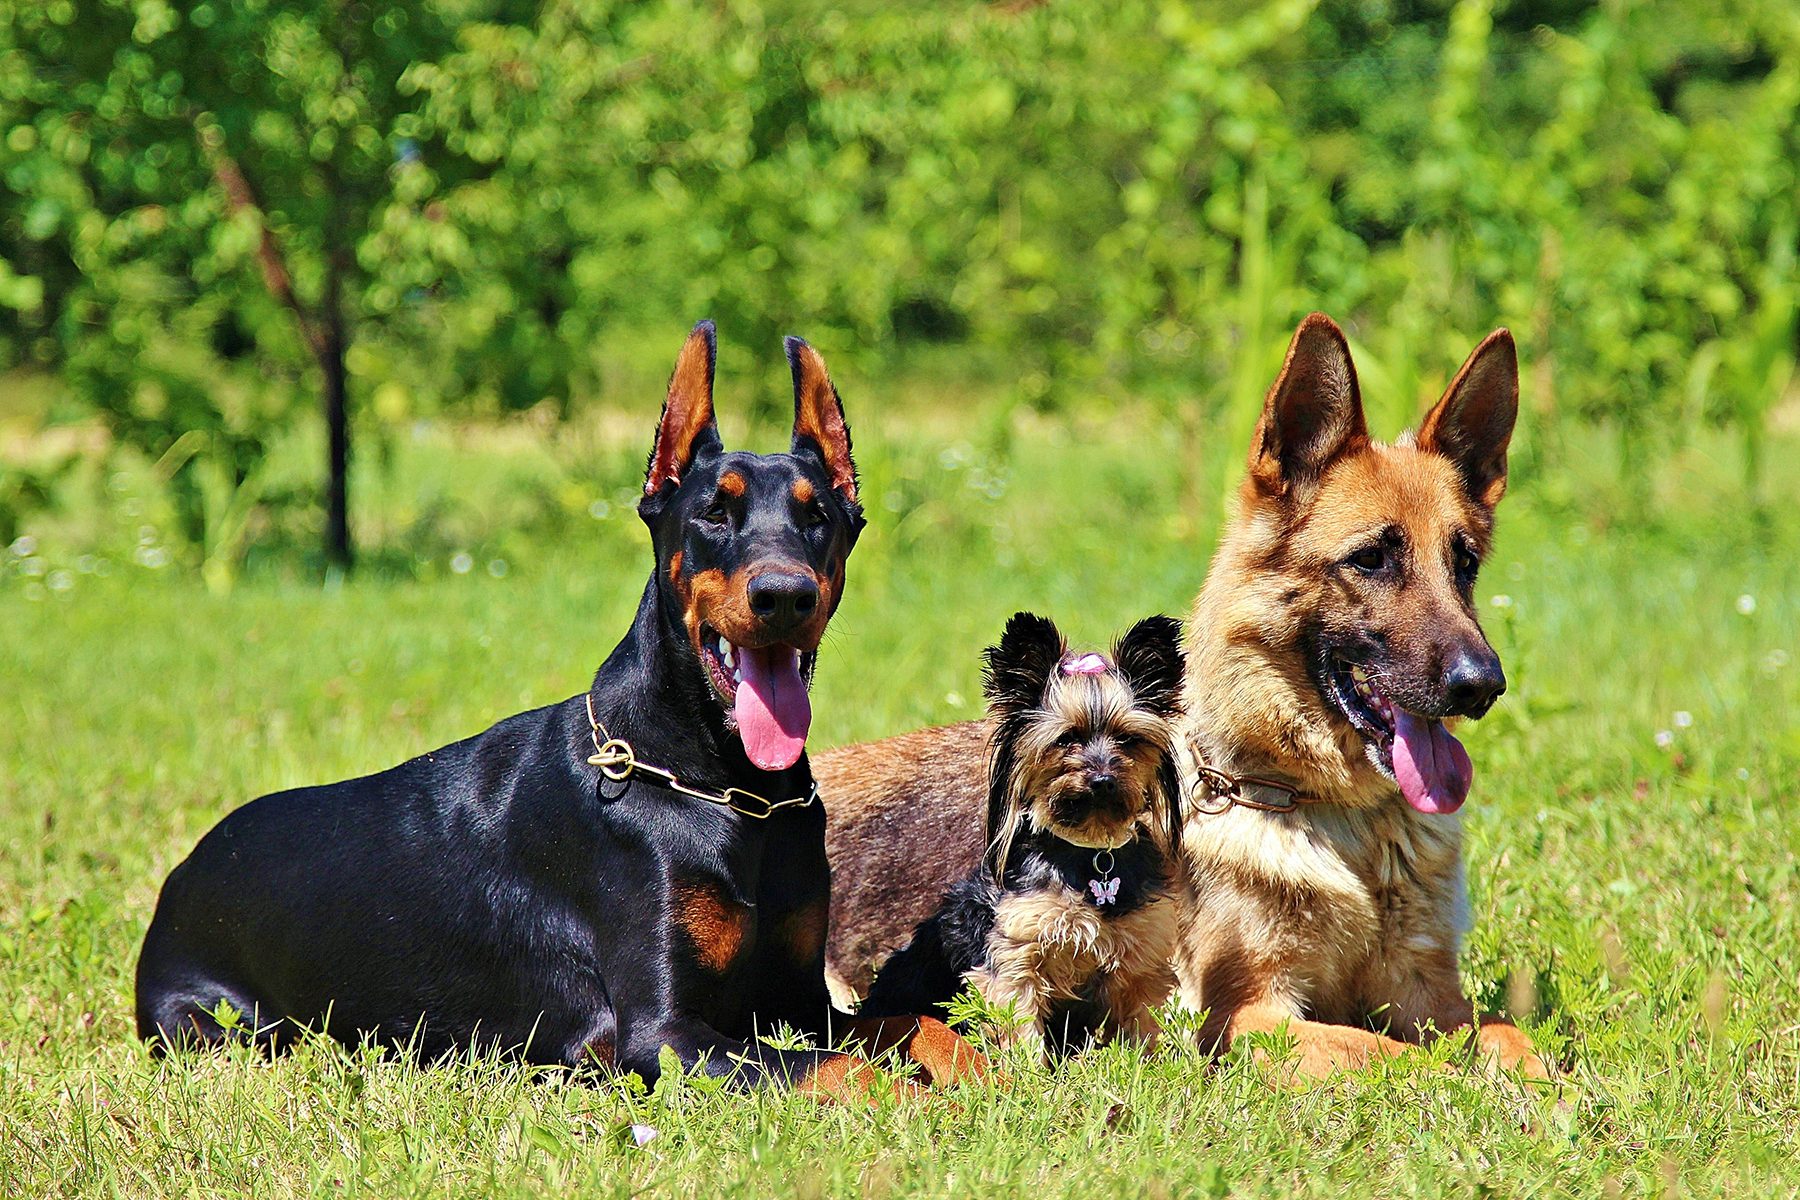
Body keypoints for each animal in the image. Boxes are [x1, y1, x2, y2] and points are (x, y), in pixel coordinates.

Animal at [138, 322, 986, 1101]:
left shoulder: (798, 998)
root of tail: (180, 874)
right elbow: (847, 1071)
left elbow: (912, 1023)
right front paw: (930, 1105)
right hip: (219, 1028)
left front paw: (989, 1073)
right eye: (713, 512)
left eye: (818, 515)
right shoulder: (662, 1033)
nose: (784, 596)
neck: (729, 788)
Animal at [853, 615, 1188, 1057]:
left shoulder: (1141, 958)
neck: (1091, 855)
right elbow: (1020, 1025)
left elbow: (1140, 1025)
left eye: (1128, 739)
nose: (1103, 780)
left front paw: (1143, 1064)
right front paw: (1028, 1070)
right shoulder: (1013, 954)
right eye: (1066, 739)